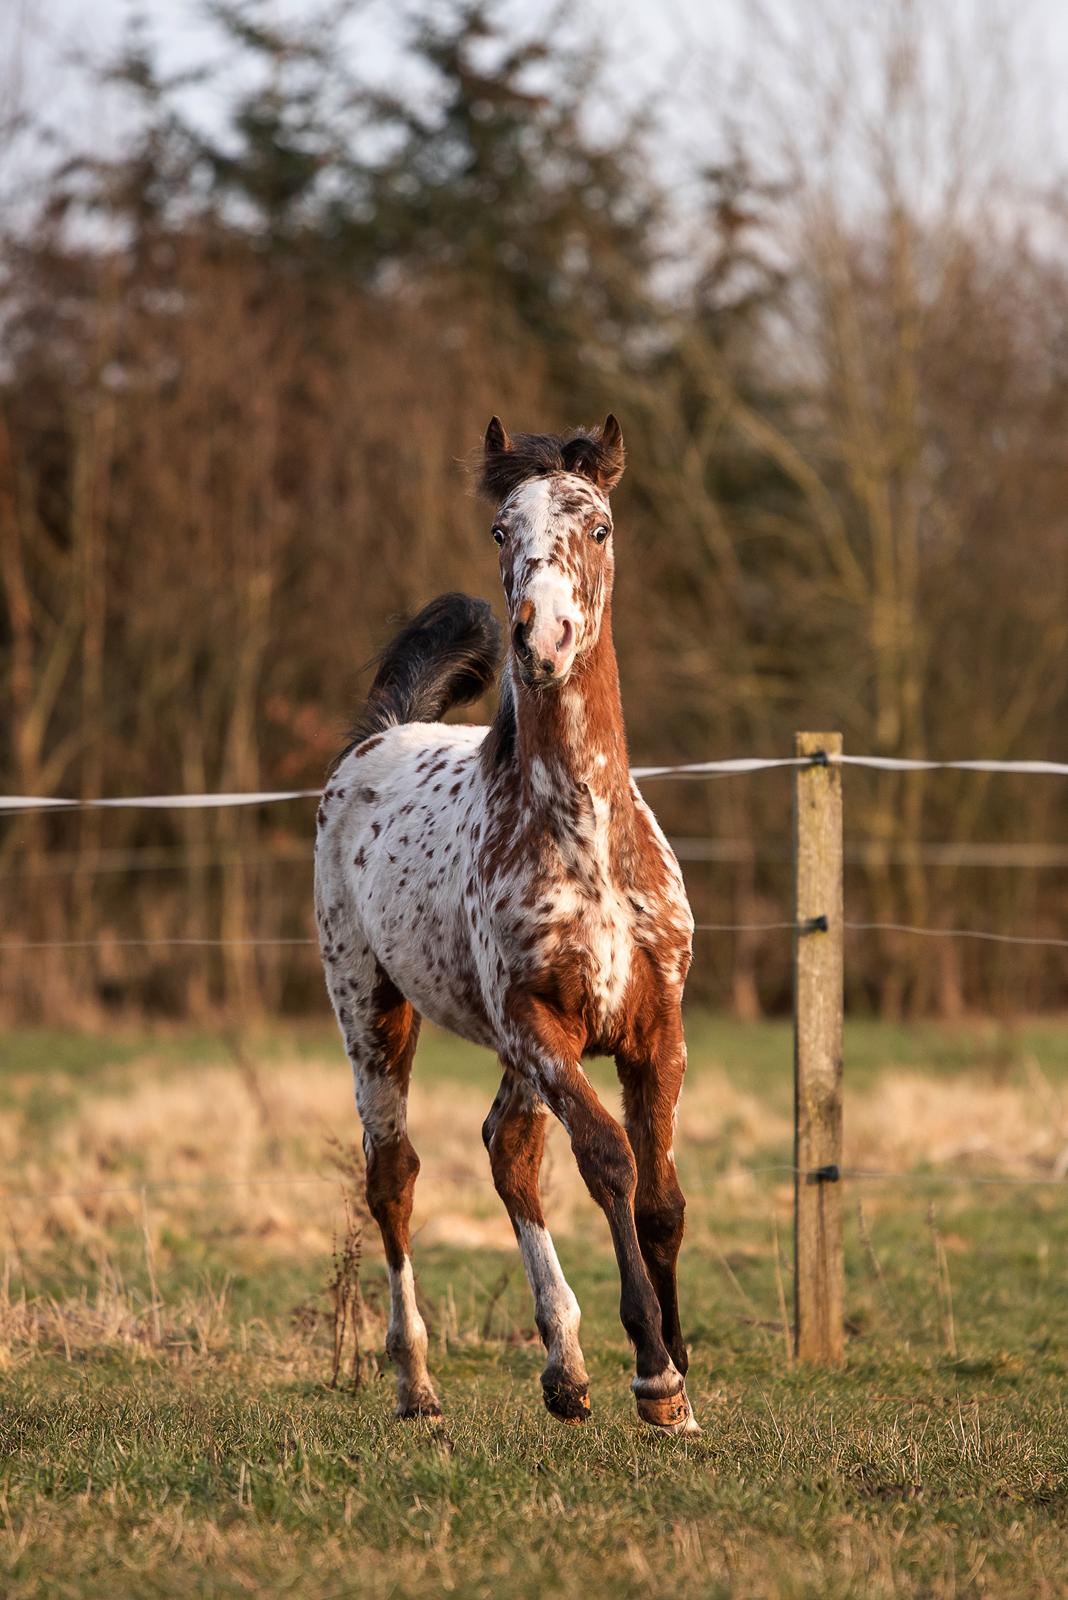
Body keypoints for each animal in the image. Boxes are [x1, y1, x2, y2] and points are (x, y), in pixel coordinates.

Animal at [314, 412, 700, 1440]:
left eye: (599, 526)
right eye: (500, 531)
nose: (542, 636)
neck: (586, 837)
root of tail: (379, 736)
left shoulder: (657, 1032)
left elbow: (662, 1199)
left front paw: (683, 1388)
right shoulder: (539, 1025)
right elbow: (609, 1161)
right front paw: (654, 1373)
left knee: (508, 1152)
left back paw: (565, 1370)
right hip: (371, 1010)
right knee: (395, 1176)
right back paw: (416, 1386)